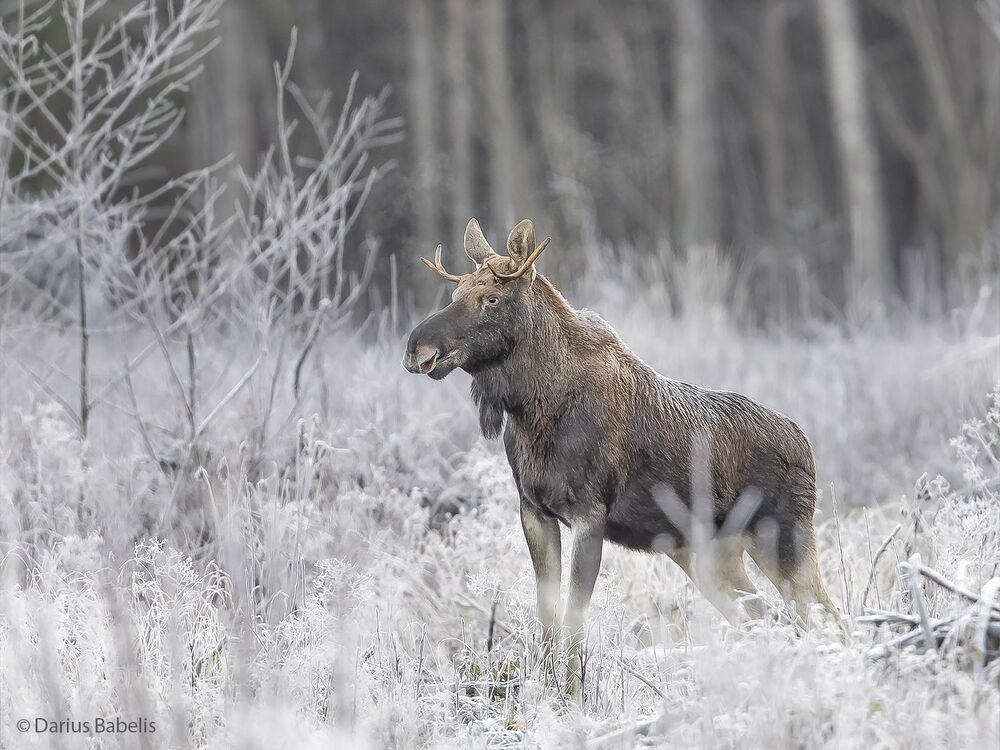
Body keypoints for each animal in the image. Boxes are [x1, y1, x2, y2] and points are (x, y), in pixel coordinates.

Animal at [402, 218, 839, 694]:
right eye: (454, 294)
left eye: (492, 298)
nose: (418, 349)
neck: (532, 406)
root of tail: (807, 446)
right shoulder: (534, 511)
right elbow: (547, 616)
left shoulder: (589, 512)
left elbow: (574, 619)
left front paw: (571, 695)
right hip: (712, 556)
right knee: (766, 620)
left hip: (784, 536)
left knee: (828, 619)